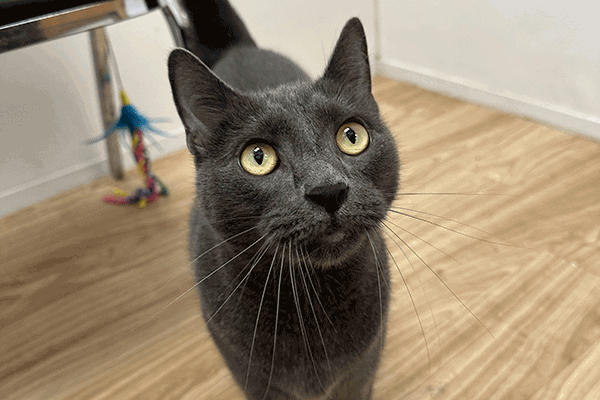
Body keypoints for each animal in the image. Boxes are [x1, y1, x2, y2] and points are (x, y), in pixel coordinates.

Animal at [168, 1, 398, 398]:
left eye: (352, 136)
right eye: (257, 157)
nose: (328, 189)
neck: (310, 301)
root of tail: (239, 48)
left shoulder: (360, 373)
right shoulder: (253, 378)